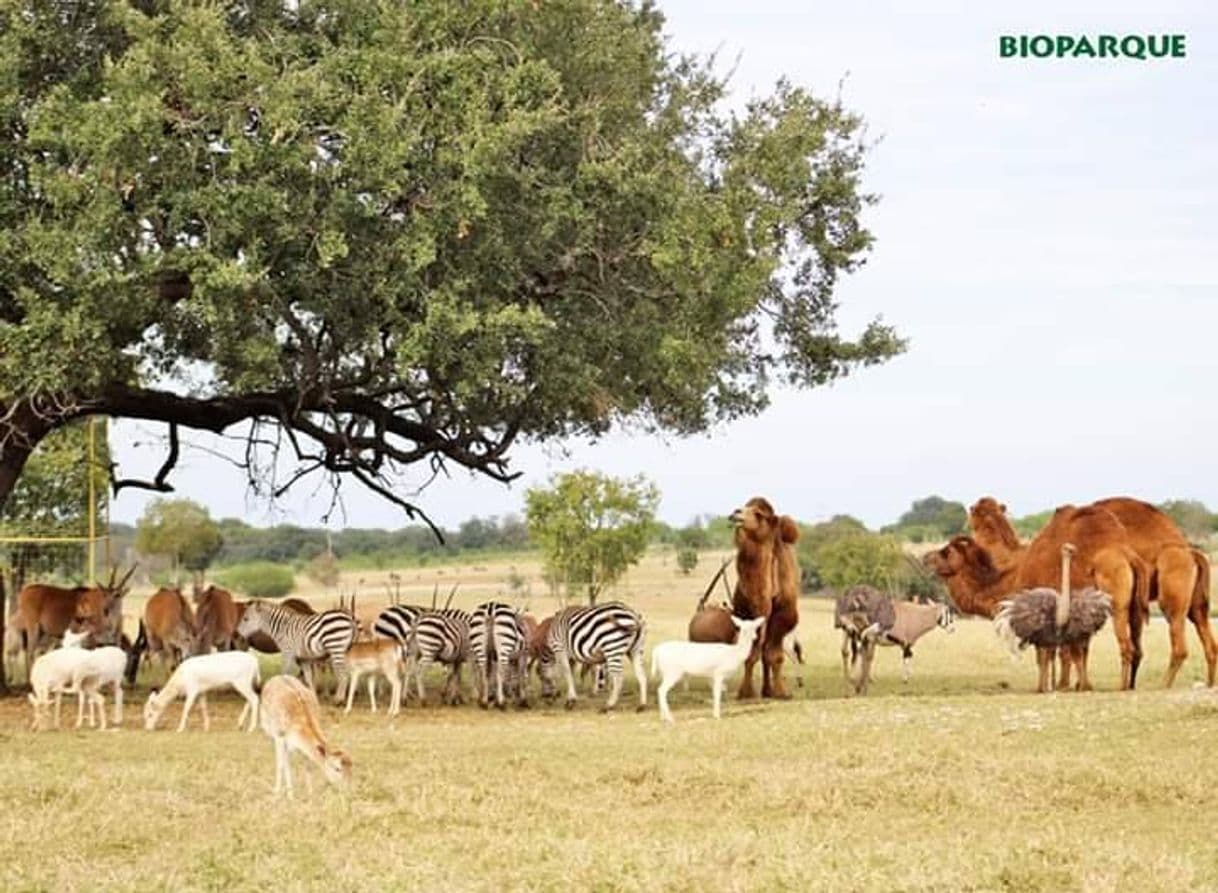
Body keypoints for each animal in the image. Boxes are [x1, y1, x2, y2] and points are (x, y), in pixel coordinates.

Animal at [730, 494, 799, 696]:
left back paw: (769, 690)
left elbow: (774, 655)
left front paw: (781, 693)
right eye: (745, 507)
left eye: (759, 514)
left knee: (767, 650)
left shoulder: (783, 615)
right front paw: (745, 693)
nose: (736, 512)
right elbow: (751, 653)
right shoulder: (746, 613)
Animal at [969, 497, 1218, 687]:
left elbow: (1058, 651)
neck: (1019, 559)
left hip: (1159, 592)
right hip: (1190, 602)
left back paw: (1155, 685)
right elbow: (1077, 649)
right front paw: (1076, 685)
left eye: (973, 522)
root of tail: (1191, 552)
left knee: (1169, 641)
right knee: (1203, 633)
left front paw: (1062, 686)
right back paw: (1206, 683)